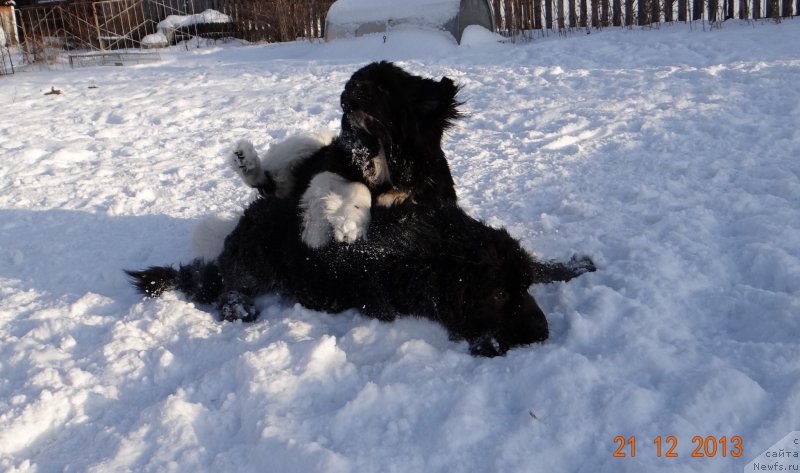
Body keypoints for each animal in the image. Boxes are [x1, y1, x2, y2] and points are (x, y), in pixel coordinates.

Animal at [126, 197, 592, 356]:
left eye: (522, 289)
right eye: (497, 295)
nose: (544, 330)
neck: (437, 247)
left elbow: (539, 264)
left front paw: (573, 266)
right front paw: (488, 341)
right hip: (258, 260)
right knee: (225, 288)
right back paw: (239, 308)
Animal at [231, 60, 460, 247]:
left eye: (384, 88)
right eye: (355, 79)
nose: (352, 84)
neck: (380, 154)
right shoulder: (332, 167)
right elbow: (356, 185)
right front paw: (350, 222)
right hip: (307, 143)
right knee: (269, 181)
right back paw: (244, 160)